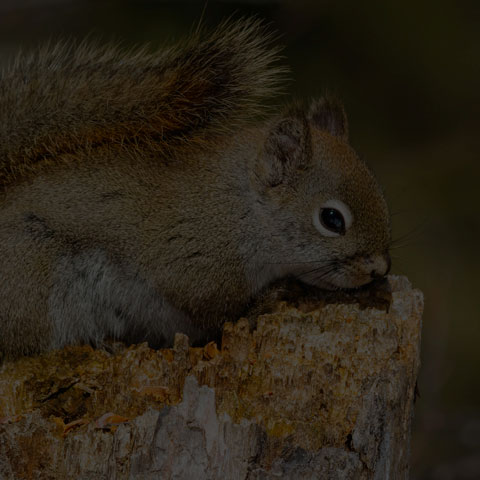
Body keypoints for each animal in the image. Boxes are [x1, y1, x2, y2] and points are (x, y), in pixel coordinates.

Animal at [0, 18, 390, 360]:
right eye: (331, 219)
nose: (379, 269)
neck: (243, 207)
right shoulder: (193, 266)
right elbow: (216, 313)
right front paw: (268, 300)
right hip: (33, 283)